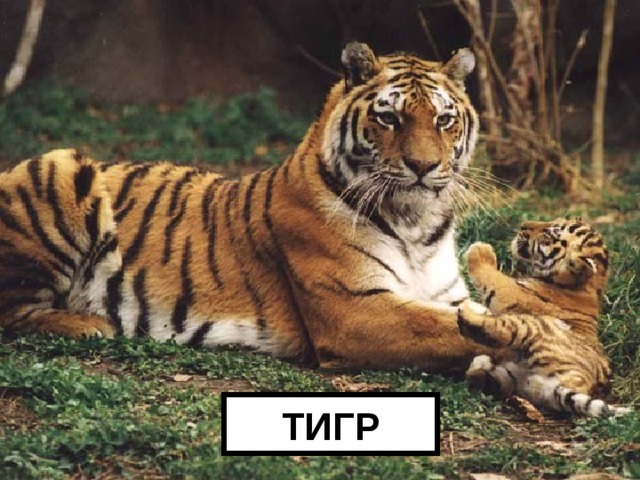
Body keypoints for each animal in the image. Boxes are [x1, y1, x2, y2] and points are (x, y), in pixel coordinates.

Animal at [0, 42, 495, 371]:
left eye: (444, 119)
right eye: (389, 118)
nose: (423, 166)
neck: (416, 224)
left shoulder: (448, 296)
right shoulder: (354, 311)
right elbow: (452, 330)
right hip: (61, 165)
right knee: (12, 314)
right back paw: (90, 324)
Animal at [457, 218, 627, 416]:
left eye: (550, 233)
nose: (523, 225)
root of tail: (576, 381)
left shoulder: (515, 293)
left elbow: (495, 278)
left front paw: (480, 249)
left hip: (533, 325)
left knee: (500, 329)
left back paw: (466, 315)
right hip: (517, 379)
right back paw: (481, 368)